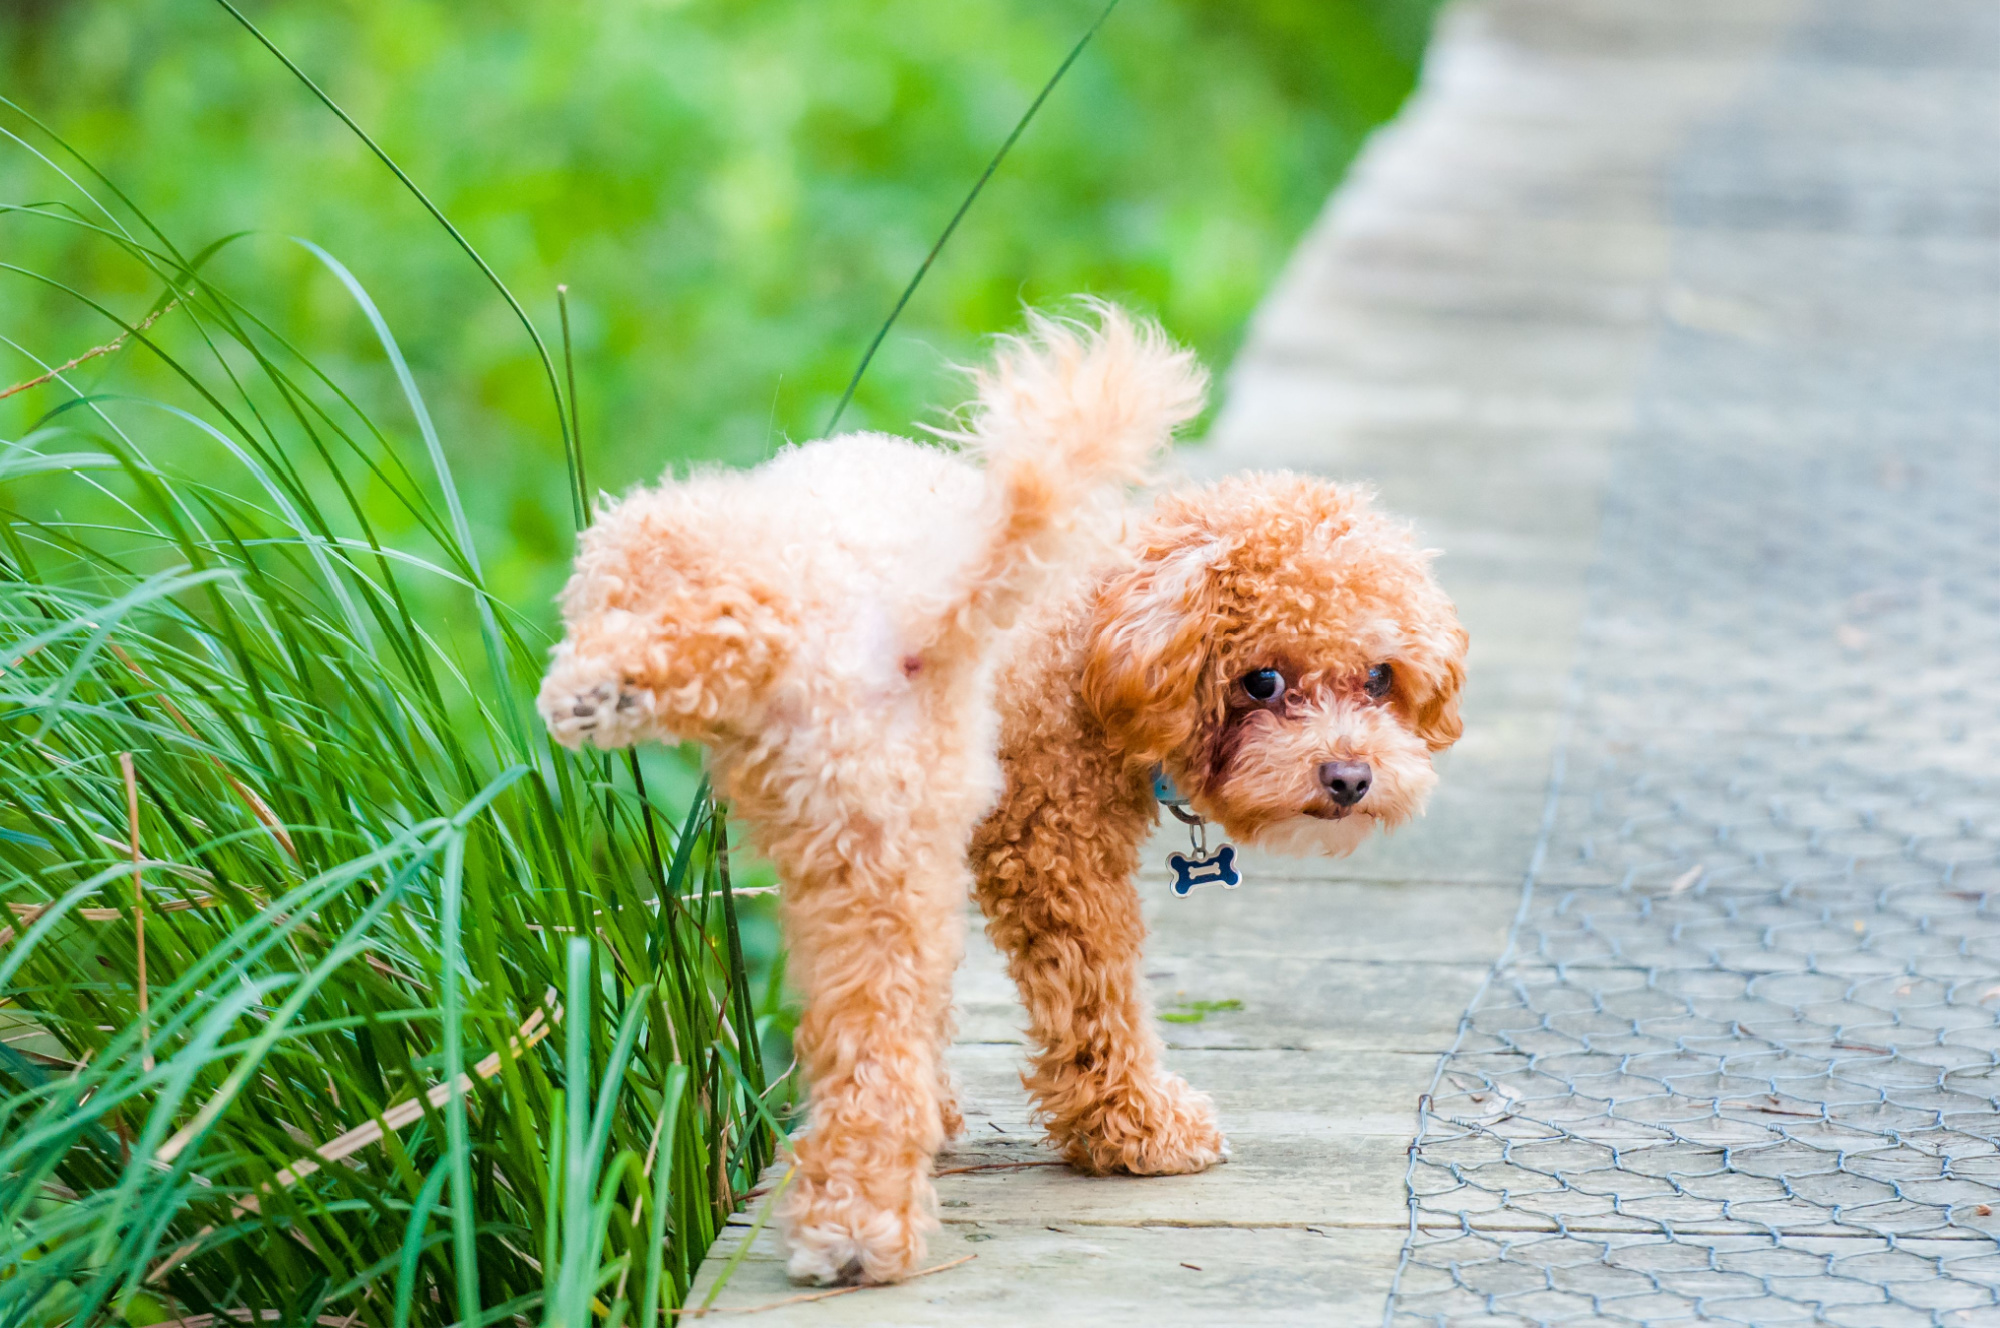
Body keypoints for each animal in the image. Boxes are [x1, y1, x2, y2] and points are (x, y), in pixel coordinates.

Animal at [532, 306, 1208, 1280]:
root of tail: (923, 619)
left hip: (717, 569)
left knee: (717, 620)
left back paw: (596, 691)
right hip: (878, 854)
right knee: (876, 1048)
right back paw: (856, 1227)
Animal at [972, 466, 1472, 1176]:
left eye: (1379, 677)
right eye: (1262, 681)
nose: (1350, 779)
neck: (1086, 642)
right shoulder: (1055, 853)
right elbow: (1097, 1000)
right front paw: (1142, 1128)